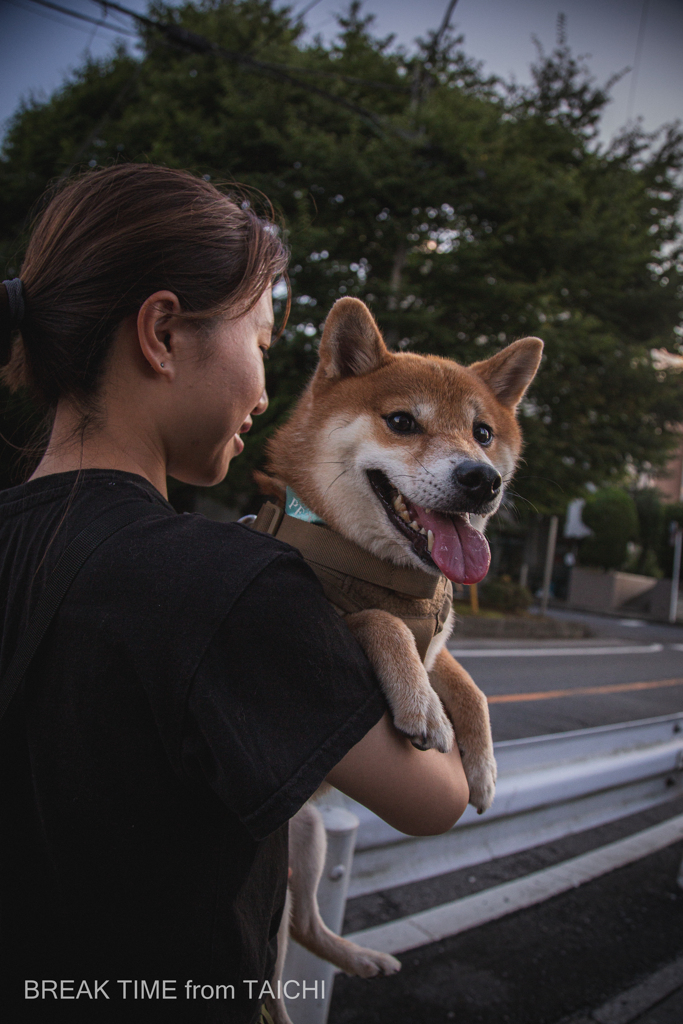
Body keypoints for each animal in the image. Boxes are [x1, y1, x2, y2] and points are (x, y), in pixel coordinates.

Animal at [258, 296, 544, 1024]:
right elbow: (376, 620)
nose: (480, 479)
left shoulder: (437, 641)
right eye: (401, 421)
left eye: (481, 433)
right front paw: (422, 710)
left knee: (309, 926)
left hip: (309, 837)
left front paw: (483, 767)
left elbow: (468, 685)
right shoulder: (346, 611)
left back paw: (361, 958)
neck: (386, 571)